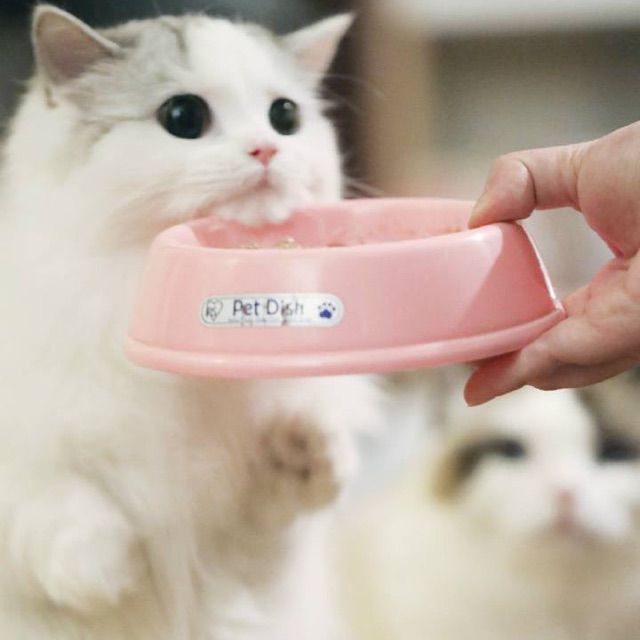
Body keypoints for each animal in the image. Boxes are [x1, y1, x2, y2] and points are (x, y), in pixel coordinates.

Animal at [0, 6, 384, 639]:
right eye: (183, 118)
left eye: (285, 116)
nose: (265, 150)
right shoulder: (37, 463)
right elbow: (64, 508)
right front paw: (118, 567)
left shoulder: (253, 548)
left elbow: (308, 479)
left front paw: (302, 446)